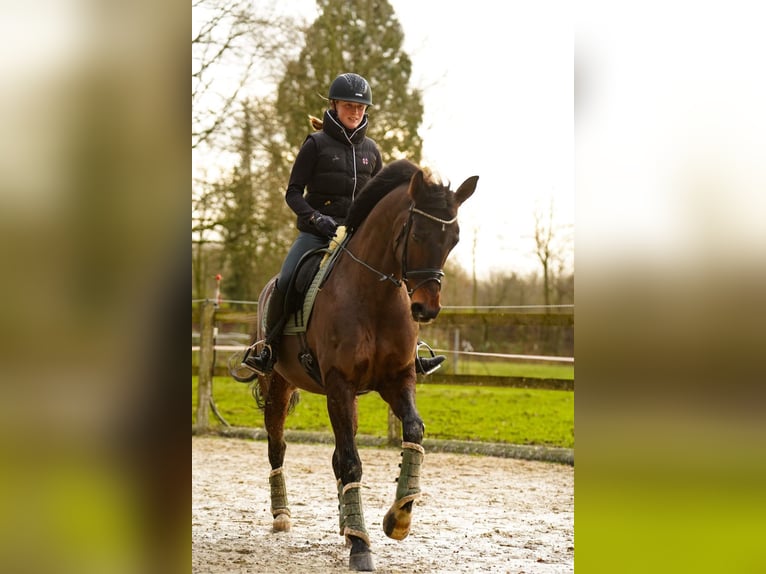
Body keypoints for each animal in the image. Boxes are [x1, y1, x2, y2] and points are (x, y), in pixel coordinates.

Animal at [235, 159, 478, 571]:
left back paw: (347, 526)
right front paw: (362, 548)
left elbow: (413, 432)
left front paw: (397, 519)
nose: (426, 308)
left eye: (454, 239)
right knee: (278, 448)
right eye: (417, 233)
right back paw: (284, 515)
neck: (375, 295)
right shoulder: (340, 384)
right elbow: (351, 462)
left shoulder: (397, 380)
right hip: (279, 386)